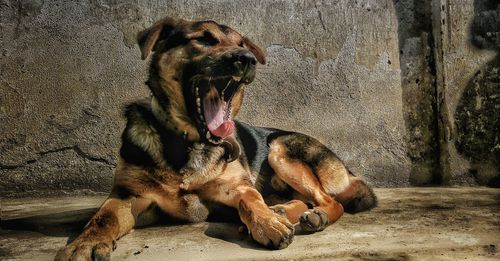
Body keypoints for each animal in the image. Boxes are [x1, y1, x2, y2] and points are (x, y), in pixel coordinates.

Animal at [54, 17, 376, 258]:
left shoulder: (238, 187)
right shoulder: (126, 196)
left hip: (279, 150)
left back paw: (307, 215)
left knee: (330, 200)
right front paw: (85, 243)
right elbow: (102, 218)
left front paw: (266, 223)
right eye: (205, 39)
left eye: (242, 44)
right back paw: (284, 210)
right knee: (300, 199)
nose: (247, 59)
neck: (189, 144)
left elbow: (251, 201)